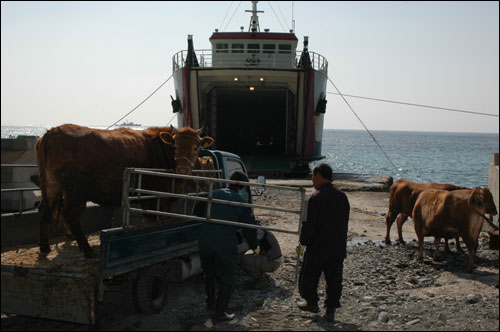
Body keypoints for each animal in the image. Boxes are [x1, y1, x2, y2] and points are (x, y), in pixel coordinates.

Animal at [35, 123, 213, 258]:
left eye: (197, 147)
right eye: (175, 146)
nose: (183, 169)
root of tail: (51, 132)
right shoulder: (151, 195)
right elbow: (151, 219)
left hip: (51, 185)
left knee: (45, 210)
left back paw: (44, 247)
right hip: (75, 191)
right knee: (70, 214)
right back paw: (87, 250)